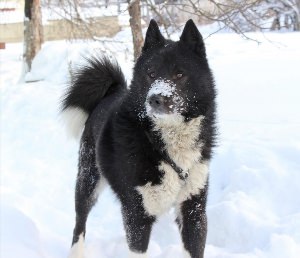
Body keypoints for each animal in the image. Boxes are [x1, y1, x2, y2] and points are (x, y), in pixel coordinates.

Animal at [61, 18, 216, 258]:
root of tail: (112, 91)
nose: (156, 99)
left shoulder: (193, 210)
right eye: (151, 73)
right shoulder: (137, 215)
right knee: (80, 223)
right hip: (88, 180)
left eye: (179, 74)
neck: (164, 145)